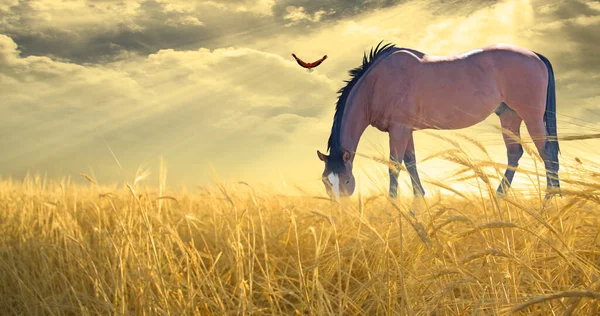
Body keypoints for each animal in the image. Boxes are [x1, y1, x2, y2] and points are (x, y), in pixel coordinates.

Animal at [316, 41, 560, 200]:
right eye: (325, 180)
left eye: (347, 181)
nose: (341, 213)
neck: (378, 83)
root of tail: (535, 55)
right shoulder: (406, 130)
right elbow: (411, 163)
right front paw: (418, 203)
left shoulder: (399, 129)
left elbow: (394, 166)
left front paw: (393, 207)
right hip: (509, 116)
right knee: (515, 153)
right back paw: (500, 197)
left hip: (531, 116)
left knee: (547, 152)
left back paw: (549, 201)